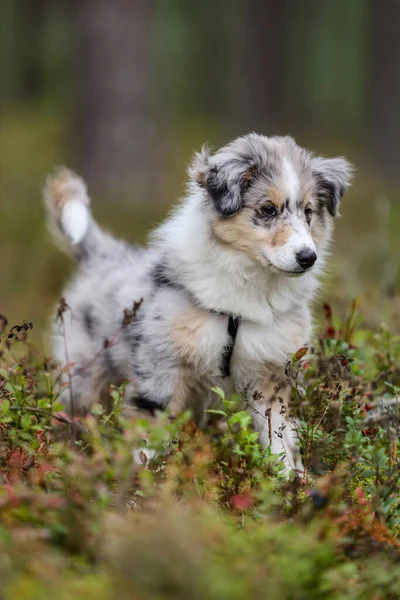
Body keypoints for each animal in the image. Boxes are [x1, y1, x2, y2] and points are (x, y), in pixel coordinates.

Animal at [43, 132, 350, 474]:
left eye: (309, 212)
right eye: (268, 209)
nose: (308, 257)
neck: (247, 285)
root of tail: (104, 254)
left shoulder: (270, 376)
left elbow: (279, 438)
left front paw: (292, 481)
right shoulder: (162, 368)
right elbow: (149, 432)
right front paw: (142, 479)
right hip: (81, 377)